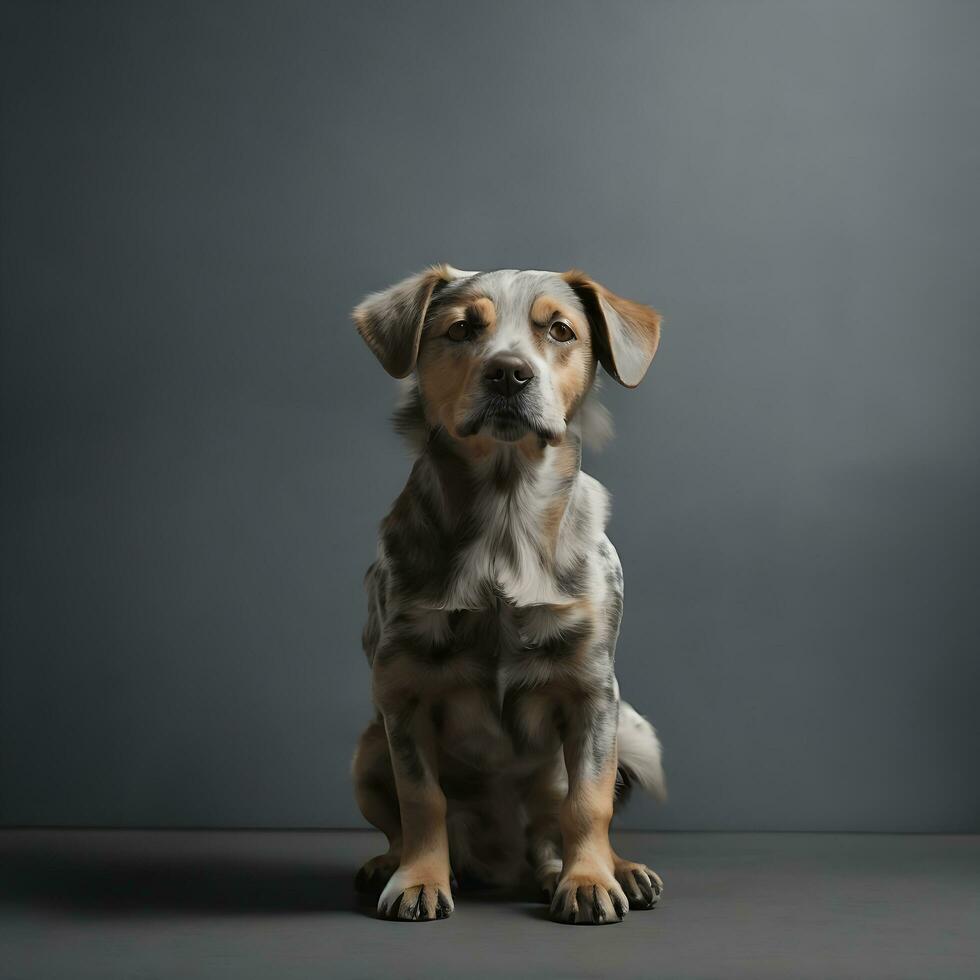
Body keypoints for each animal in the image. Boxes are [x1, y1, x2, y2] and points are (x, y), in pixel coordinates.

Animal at [350, 264, 668, 924]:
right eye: (461, 328)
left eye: (560, 329)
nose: (508, 373)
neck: (505, 518)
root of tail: (501, 863)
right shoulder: (403, 694)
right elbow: (422, 801)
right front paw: (419, 878)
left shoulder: (592, 691)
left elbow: (587, 802)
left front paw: (589, 878)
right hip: (367, 751)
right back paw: (391, 864)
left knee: (554, 830)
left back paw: (607, 870)